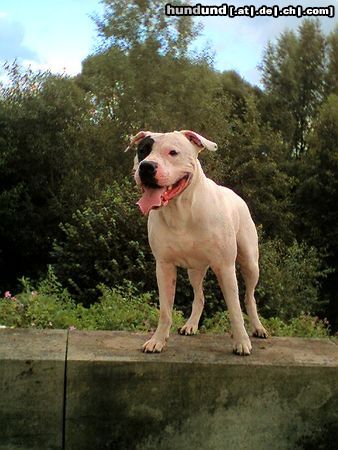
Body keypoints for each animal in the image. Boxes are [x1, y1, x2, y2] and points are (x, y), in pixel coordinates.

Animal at [126, 129, 266, 356]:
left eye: (173, 152)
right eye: (142, 151)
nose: (146, 166)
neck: (181, 211)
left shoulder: (225, 267)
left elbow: (235, 308)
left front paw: (241, 342)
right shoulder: (164, 267)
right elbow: (165, 310)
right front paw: (157, 340)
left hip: (250, 264)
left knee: (249, 297)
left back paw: (258, 328)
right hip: (195, 270)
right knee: (199, 296)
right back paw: (191, 325)